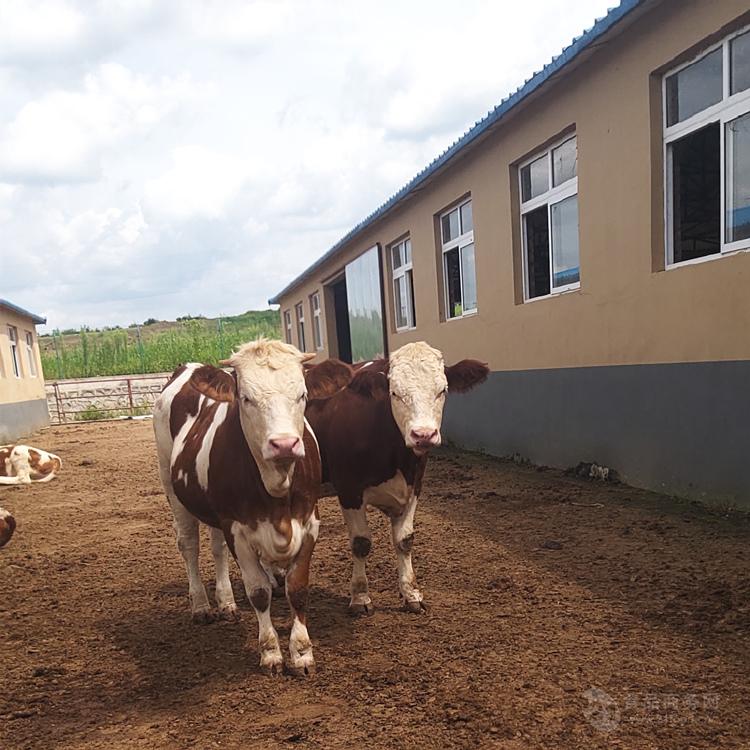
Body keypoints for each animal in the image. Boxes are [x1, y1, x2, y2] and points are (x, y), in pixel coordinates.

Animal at [156, 338, 324, 680]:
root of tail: (189, 367)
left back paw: (226, 603)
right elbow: (258, 591)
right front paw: (271, 653)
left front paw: (301, 653)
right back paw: (201, 606)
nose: (284, 444)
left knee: (216, 548)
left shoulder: (309, 522)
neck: (277, 488)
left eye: (302, 395)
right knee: (189, 545)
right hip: (171, 483)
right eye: (246, 398)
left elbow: (298, 588)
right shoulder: (238, 528)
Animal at [306, 344, 488, 612]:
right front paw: (360, 597)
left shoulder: (414, 486)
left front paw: (411, 594)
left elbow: (404, 540)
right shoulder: (349, 490)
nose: (423, 434)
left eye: (442, 390)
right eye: (395, 393)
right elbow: (361, 543)